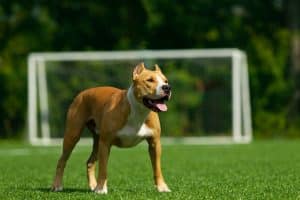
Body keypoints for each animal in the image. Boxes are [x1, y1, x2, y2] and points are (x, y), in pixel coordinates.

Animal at [51, 62, 171, 194]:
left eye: (165, 81)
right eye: (149, 80)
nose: (167, 88)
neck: (138, 111)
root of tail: (82, 93)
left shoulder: (155, 143)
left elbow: (157, 168)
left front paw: (162, 187)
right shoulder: (106, 143)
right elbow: (103, 169)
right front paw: (101, 189)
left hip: (97, 141)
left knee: (90, 162)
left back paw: (93, 186)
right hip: (73, 135)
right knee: (62, 161)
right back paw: (57, 186)